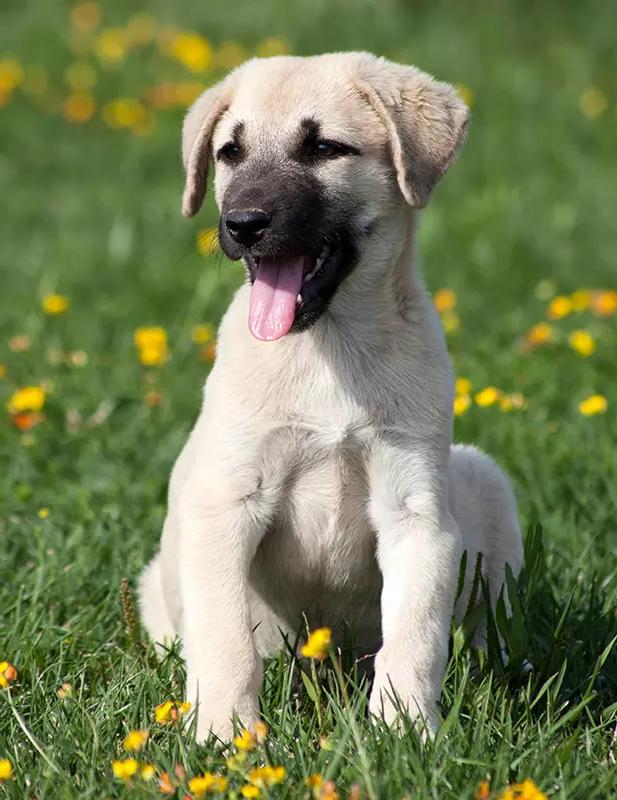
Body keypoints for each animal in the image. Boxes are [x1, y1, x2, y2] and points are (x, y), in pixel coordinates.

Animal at [138, 51, 520, 744]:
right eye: (229, 153)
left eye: (322, 149)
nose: (242, 225)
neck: (327, 351)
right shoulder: (226, 503)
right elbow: (226, 639)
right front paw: (225, 736)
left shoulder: (416, 513)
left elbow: (414, 636)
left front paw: (405, 732)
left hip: (484, 483)